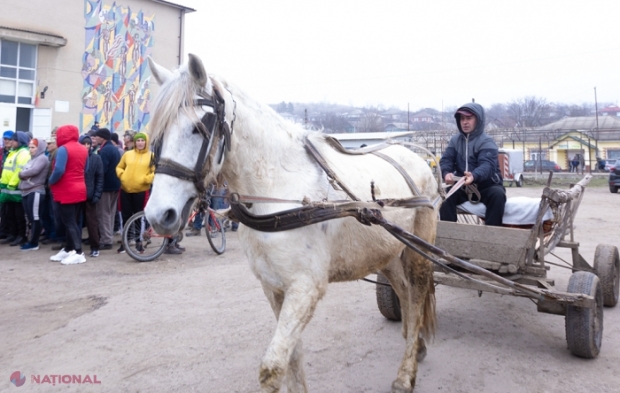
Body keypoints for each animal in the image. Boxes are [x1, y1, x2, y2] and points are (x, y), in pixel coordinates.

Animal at [145, 53, 440, 390]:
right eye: (157, 133)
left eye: (198, 127)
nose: (159, 215)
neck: (277, 186)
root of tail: (418, 158)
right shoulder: (274, 287)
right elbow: (293, 357)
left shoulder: (305, 288)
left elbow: (272, 368)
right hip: (386, 253)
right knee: (405, 293)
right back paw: (415, 345)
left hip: (418, 253)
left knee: (417, 296)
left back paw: (405, 374)